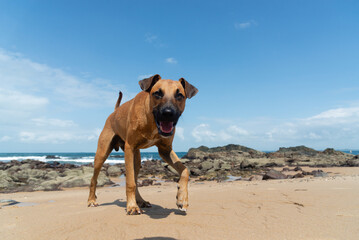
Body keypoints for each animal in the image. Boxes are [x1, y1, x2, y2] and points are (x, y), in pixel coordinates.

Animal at [88, 74, 198, 214]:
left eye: (179, 95)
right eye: (157, 93)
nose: (168, 113)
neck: (151, 121)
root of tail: (114, 112)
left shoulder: (165, 150)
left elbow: (185, 170)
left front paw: (182, 199)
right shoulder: (130, 148)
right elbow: (130, 182)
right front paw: (131, 206)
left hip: (137, 159)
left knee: (135, 178)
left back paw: (141, 201)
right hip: (102, 153)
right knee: (94, 179)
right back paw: (91, 200)